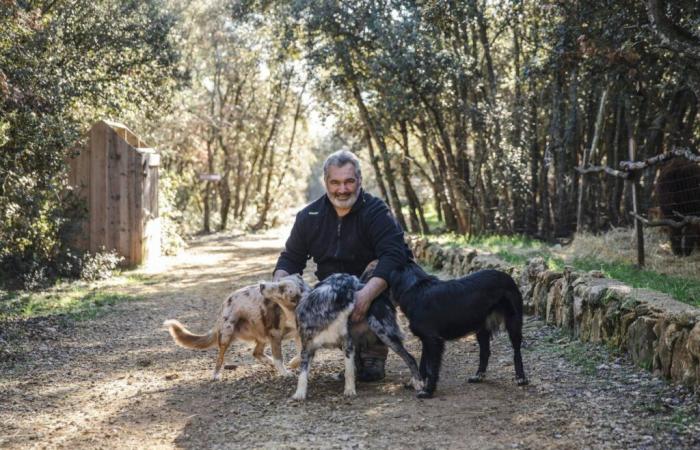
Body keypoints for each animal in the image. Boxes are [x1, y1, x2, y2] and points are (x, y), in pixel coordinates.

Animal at [392, 262, 528, 400]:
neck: (415, 289)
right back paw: (478, 376)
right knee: (485, 352)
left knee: (517, 351)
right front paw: (416, 383)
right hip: (481, 328)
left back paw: (521, 377)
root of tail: (507, 276)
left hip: (514, 323)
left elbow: (431, 367)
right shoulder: (426, 339)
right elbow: (423, 364)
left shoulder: (433, 340)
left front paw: (428, 391)